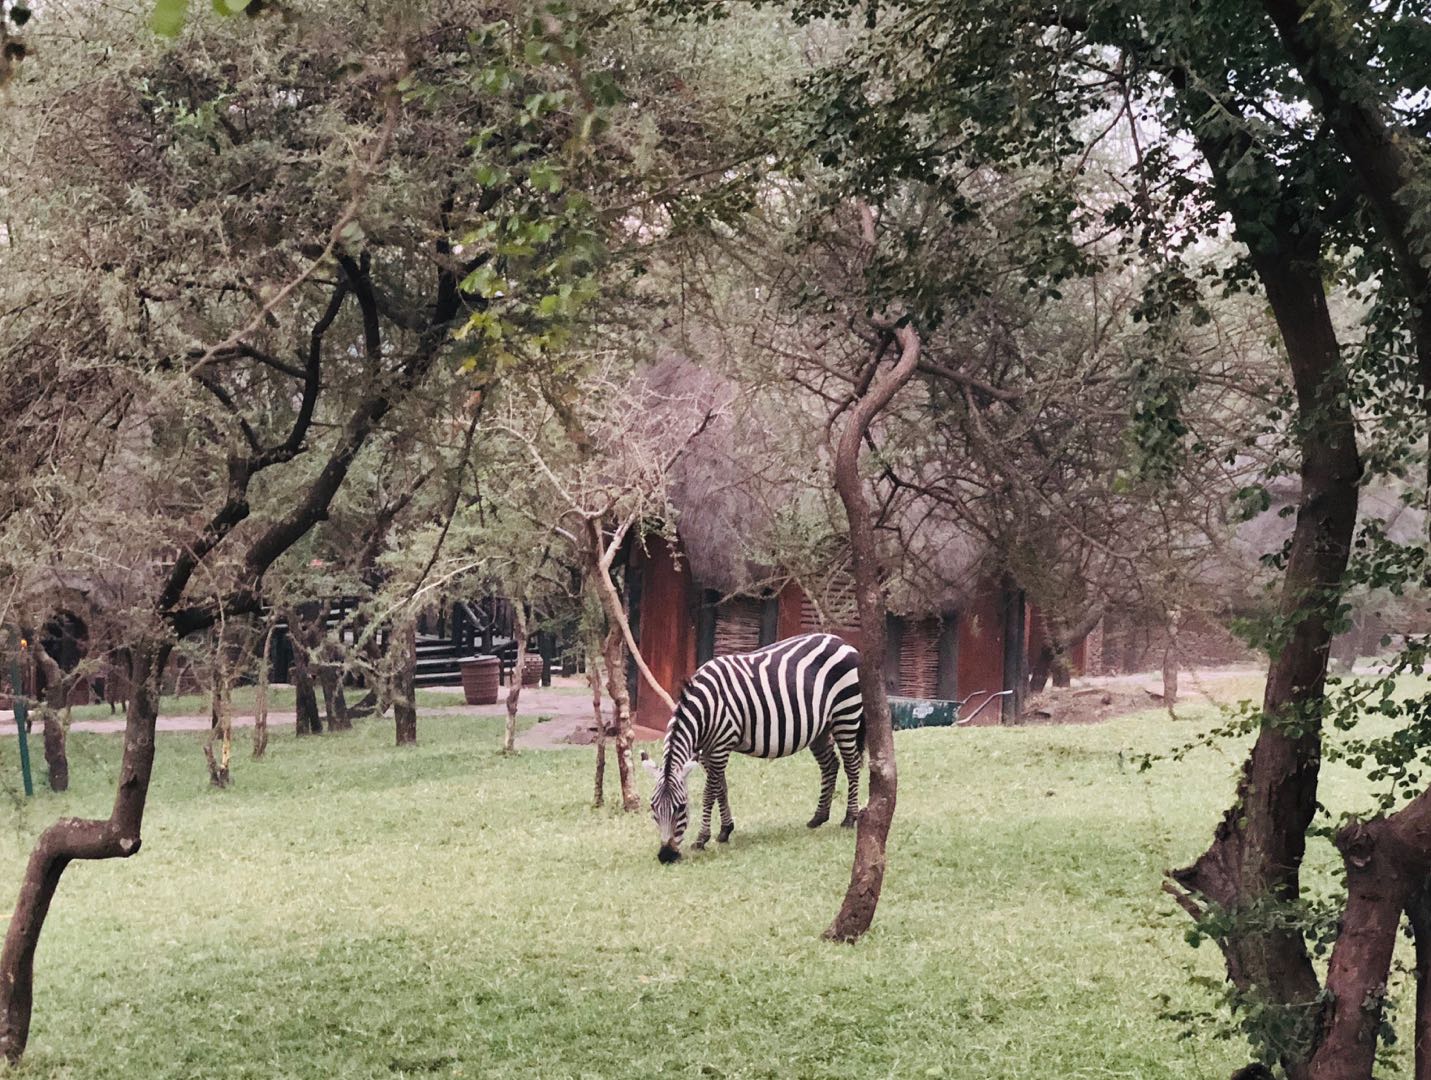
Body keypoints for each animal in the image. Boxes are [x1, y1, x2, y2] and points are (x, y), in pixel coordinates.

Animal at [646, 629, 864, 864]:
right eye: (653, 808)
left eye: (681, 808)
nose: (666, 856)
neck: (707, 708)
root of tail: (842, 641)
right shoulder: (706, 751)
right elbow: (721, 788)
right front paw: (725, 830)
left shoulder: (721, 745)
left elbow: (709, 792)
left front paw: (702, 838)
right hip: (820, 728)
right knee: (830, 765)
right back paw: (818, 817)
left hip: (846, 714)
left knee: (852, 765)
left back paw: (850, 818)